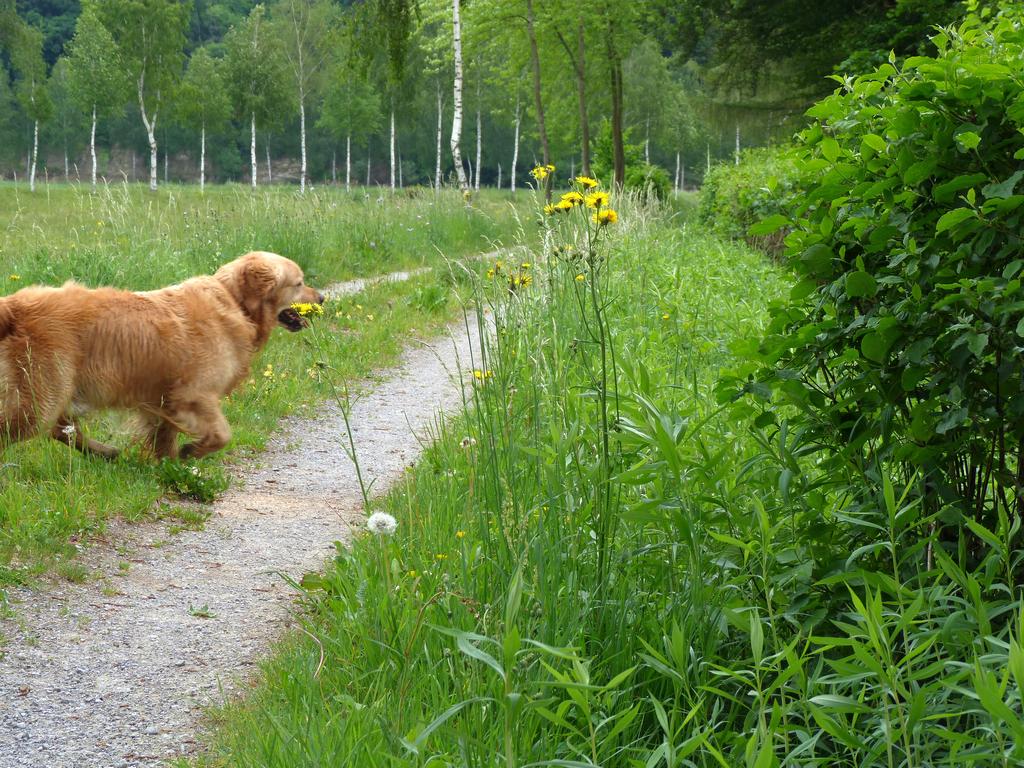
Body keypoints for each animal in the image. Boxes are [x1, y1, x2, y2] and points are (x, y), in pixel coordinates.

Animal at [0, 250, 323, 462]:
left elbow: (164, 440)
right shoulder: (195, 394)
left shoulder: (164, 401)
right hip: (41, 399)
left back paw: (107, 453)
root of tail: (14, 304)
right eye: (299, 283)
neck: (234, 301)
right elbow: (222, 434)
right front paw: (191, 451)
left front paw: (167, 467)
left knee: (63, 430)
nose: (322, 297)